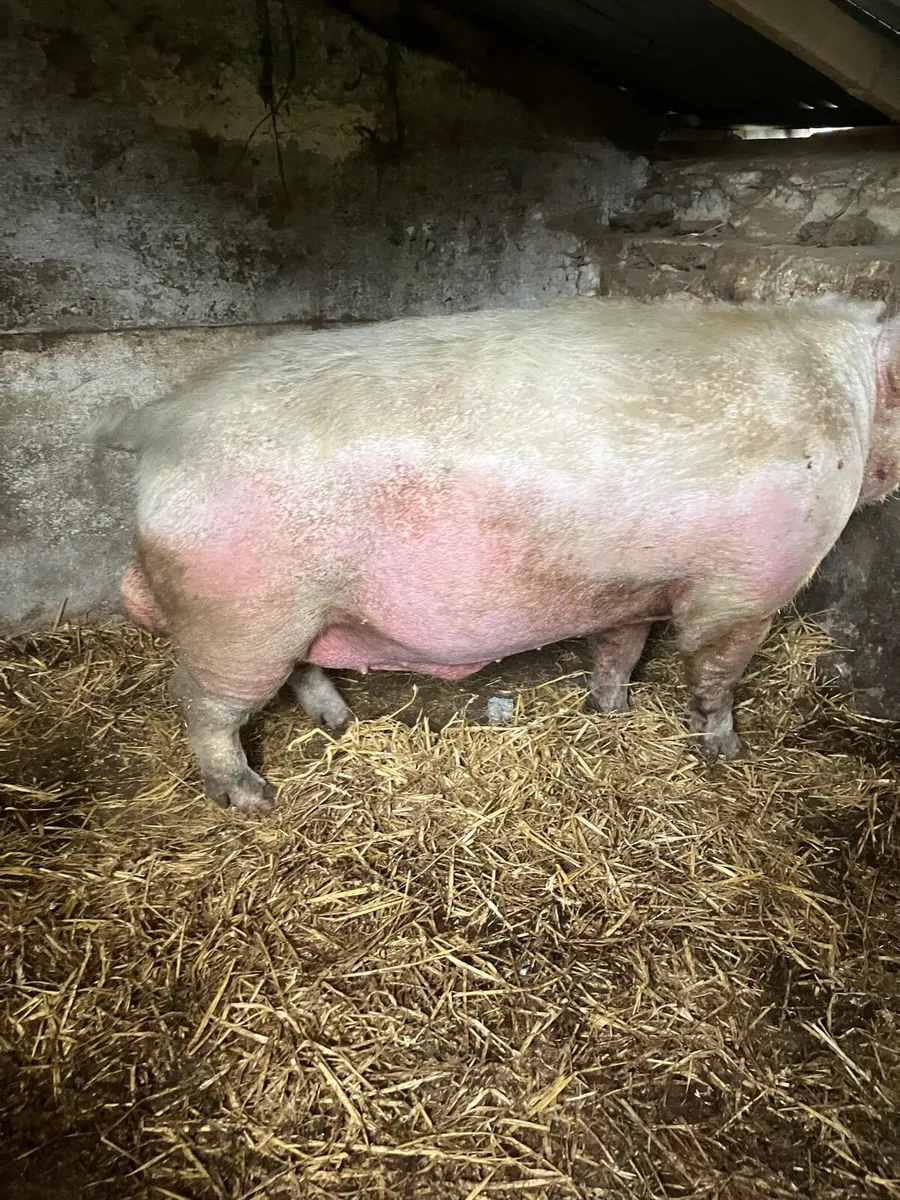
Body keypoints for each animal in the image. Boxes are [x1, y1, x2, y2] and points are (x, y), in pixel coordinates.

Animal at [89, 294, 900, 815]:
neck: (856, 400)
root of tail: (162, 419)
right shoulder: (748, 583)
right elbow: (715, 671)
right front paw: (727, 753)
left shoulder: (633, 583)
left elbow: (622, 645)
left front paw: (609, 711)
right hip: (239, 609)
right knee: (202, 701)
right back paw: (254, 799)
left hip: (289, 611)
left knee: (297, 671)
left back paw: (340, 724)